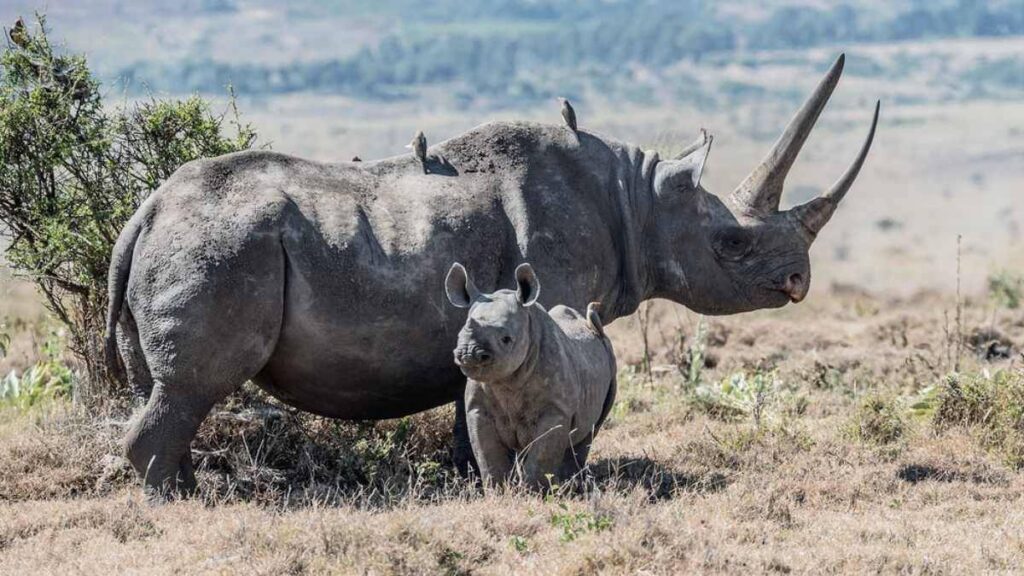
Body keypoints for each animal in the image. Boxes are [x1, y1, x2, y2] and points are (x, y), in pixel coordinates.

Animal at [446, 262, 614, 485]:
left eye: (506, 339)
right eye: (458, 335)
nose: (468, 353)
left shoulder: (556, 410)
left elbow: (541, 456)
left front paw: (532, 490)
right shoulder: (478, 408)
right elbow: (487, 455)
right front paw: (498, 489)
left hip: (609, 357)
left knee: (590, 431)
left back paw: (569, 482)